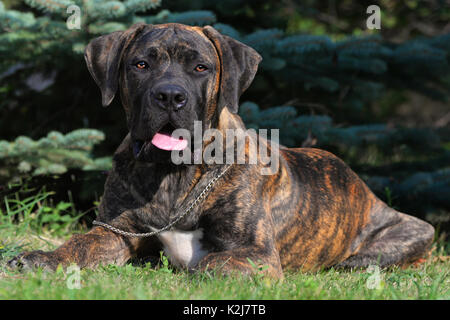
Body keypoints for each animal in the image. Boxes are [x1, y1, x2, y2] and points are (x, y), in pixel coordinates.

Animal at [7, 23, 436, 278]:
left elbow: (212, 263)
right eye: (141, 64)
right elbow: (79, 244)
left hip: (405, 236)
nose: (170, 96)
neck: (174, 175)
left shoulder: (255, 252)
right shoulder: (116, 231)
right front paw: (43, 258)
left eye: (201, 68)